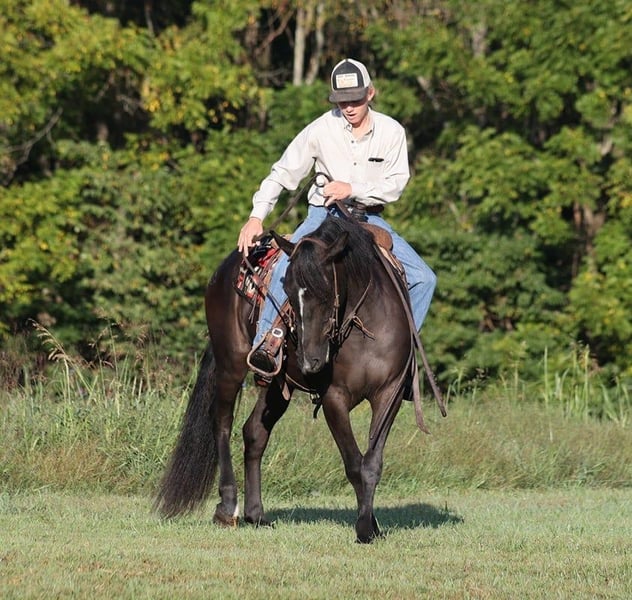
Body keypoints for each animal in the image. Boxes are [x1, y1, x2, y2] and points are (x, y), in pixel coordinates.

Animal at [155, 212, 440, 543]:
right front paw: (365, 528)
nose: (310, 360)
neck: (363, 325)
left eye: (326, 292)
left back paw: (256, 514)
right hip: (231, 365)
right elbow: (354, 464)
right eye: (288, 292)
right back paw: (228, 507)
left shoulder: (389, 394)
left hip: (276, 387)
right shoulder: (334, 399)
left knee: (254, 432)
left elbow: (372, 463)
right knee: (222, 423)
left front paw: (372, 525)